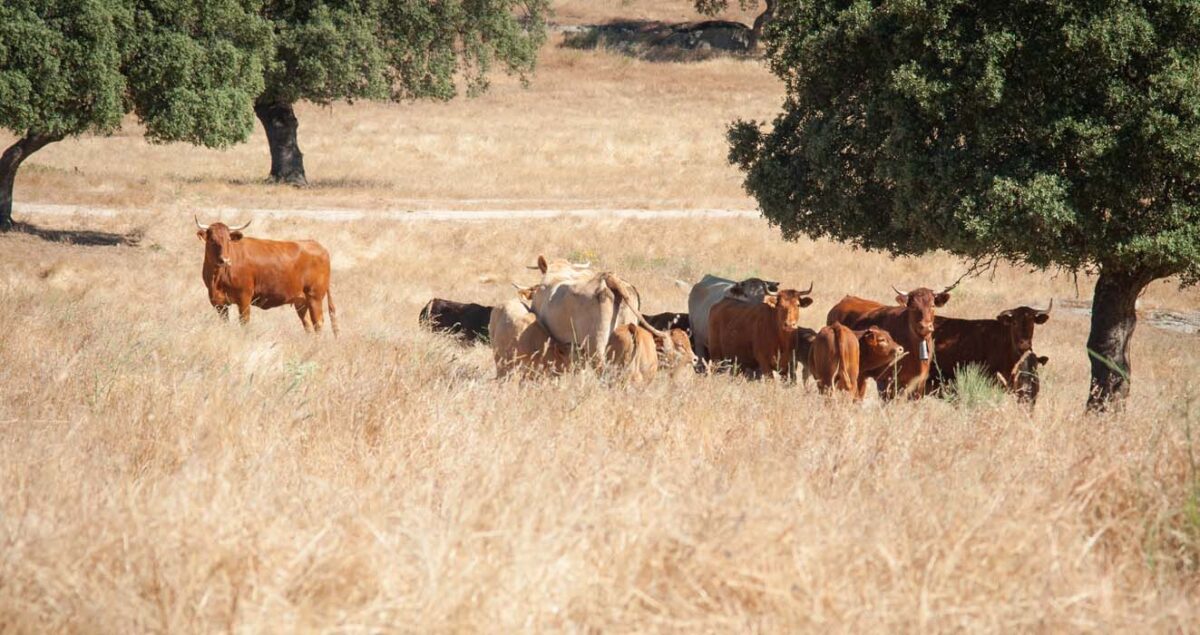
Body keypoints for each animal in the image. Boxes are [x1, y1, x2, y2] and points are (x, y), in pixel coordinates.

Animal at [194, 218, 338, 333]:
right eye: (212, 240)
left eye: (228, 240)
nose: (224, 260)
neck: (216, 278)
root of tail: (318, 246)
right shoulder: (219, 303)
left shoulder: (244, 298)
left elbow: (244, 323)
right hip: (300, 301)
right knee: (307, 324)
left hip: (315, 297)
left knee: (318, 323)